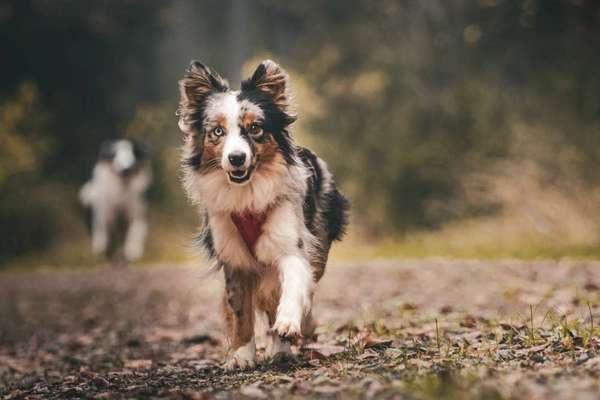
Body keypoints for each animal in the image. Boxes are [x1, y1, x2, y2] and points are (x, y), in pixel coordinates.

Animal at [176, 59, 350, 368]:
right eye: (217, 131)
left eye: (255, 128)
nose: (236, 158)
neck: (248, 193)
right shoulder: (234, 259)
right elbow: (241, 312)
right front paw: (242, 355)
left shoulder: (290, 245)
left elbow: (291, 287)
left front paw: (286, 328)